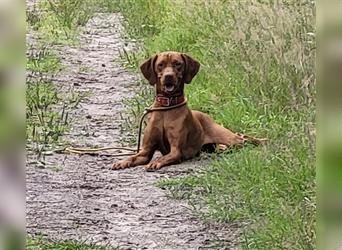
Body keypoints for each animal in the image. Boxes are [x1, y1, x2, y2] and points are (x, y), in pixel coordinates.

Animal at [111, 51, 262, 171]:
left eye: (177, 64)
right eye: (160, 64)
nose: (168, 76)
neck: (165, 108)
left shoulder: (176, 151)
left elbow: (163, 157)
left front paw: (156, 162)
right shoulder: (145, 152)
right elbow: (132, 157)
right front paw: (121, 162)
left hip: (229, 138)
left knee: (244, 139)